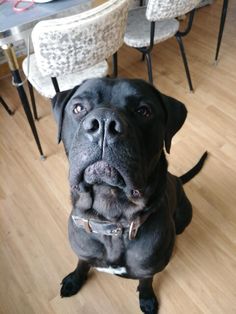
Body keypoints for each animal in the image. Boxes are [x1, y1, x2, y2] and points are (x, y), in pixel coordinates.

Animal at [51, 78, 206, 314]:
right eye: (78, 108)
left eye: (144, 111)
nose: (104, 123)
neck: (113, 222)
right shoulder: (83, 251)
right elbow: (82, 263)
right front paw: (74, 280)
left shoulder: (147, 269)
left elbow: (146, 281)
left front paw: (147, 298)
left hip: (183, 218)